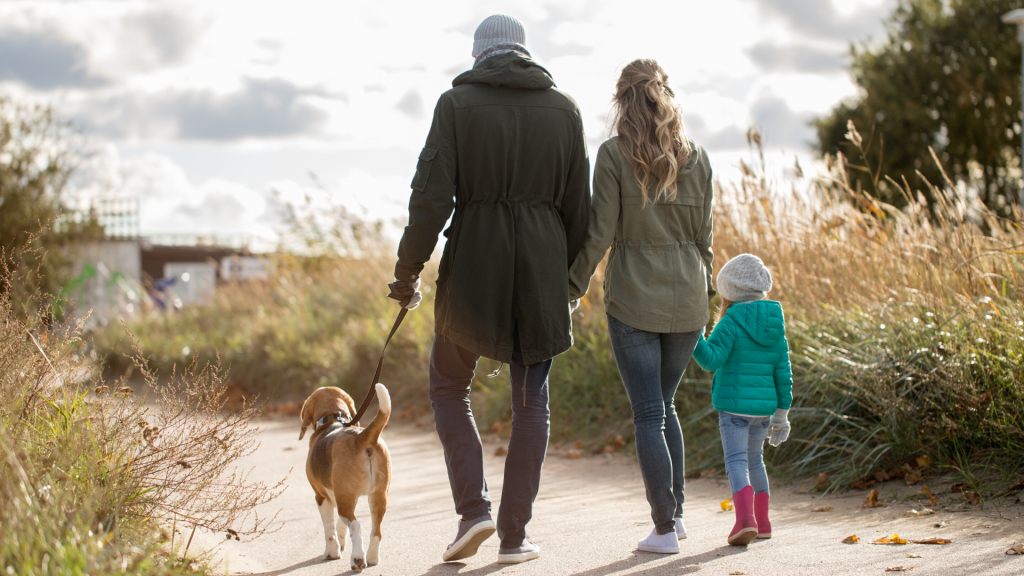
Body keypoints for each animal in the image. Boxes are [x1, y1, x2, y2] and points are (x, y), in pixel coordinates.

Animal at [299, 383, 391, 565]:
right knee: (376, 531)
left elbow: (329, 529)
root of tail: (362, 437)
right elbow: (340, 524)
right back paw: (372, 558)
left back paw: (358, 559)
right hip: (377, 497)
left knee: (356, 525)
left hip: (345, 501)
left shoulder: (321, 496)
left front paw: (332, 552)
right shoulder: (346, 496)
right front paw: (341, 543)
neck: (334, 419)